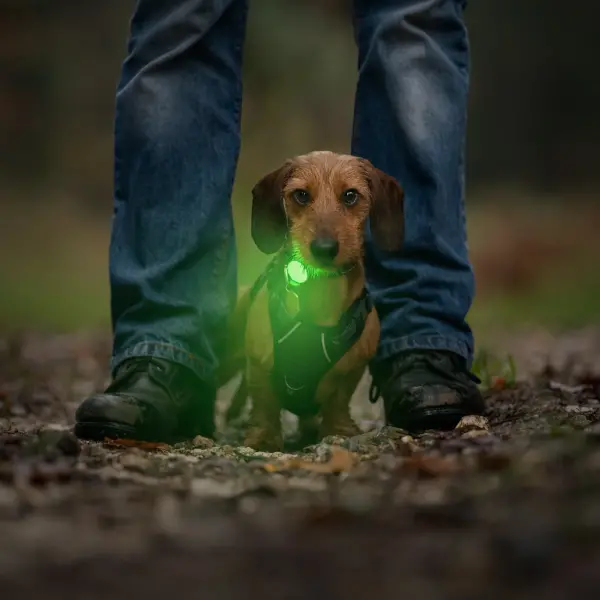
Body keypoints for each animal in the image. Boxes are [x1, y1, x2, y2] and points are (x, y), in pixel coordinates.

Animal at [218, 150, 406, 450]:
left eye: (350, 195)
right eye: (301, 195)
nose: (324, 249)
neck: (319, 289)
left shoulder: (353, 369)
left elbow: (339, 401)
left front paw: (338, 431)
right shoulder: (258, 363)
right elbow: (264, 402)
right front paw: (263, 437)